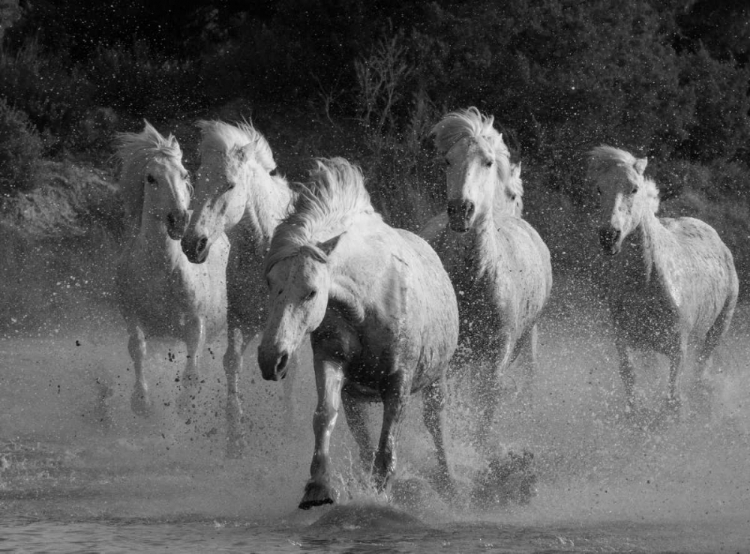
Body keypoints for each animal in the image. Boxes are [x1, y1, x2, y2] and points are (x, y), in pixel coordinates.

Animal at [114, 119, 229, 414]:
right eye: (150, 178)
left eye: (185, 175)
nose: (179, 220)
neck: (160, 273)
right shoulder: (133, 316)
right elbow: (138, 348)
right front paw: (142, 402)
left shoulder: (196, 322)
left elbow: (191, 370)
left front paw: (186, 405)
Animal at [181, 121, 298, 458]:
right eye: (197, 180)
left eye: (230, 185)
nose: (192, 244)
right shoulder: (239, 320)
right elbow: (232, 362)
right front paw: (235, 439)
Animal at [424, 106, 552, 448]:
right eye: (447, 160)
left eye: (488, 162)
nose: (461, 210)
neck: (476, 279)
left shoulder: (497, 356)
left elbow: (485, 413)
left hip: (527, 339)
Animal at [588, 146, 740, 414]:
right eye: (599, 188)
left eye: (634, 188)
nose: (609, 236)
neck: (646, 282)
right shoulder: (623, 341)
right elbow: (630, 377)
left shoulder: (678, 349)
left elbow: (673, 398)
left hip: (718, 329)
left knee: (701, 370)